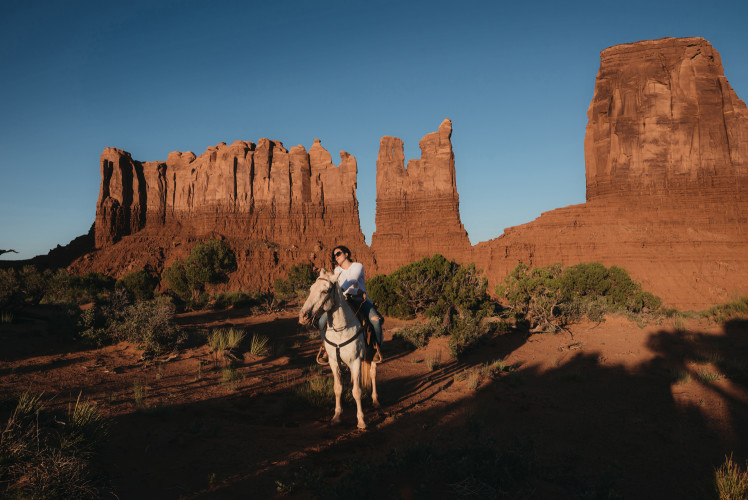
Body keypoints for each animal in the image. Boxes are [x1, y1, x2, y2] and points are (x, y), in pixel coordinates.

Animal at [300, 270, 380, 430]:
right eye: (311, 289)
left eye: (325, 291)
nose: (303, 316)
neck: (341, 329)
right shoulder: (333, 362)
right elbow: (338, 388)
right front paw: (337, 416)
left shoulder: (356, 361)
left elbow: (357, 391)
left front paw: (361, 421)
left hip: (372, 356)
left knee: (373, 373)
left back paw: (375, 400)